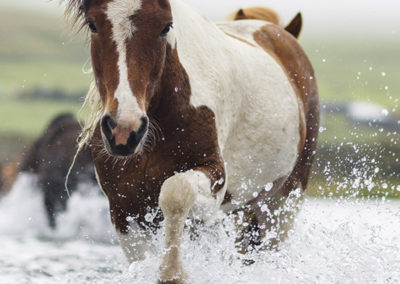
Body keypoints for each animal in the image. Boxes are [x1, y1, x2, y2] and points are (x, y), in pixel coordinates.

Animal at [66, 0, 322, 282]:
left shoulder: (214, 179)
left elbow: (175, 191)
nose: (124, 129)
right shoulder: (124, 209)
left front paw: (172, 273)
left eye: (165, 26)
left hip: (285, 202)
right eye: (93, 24)